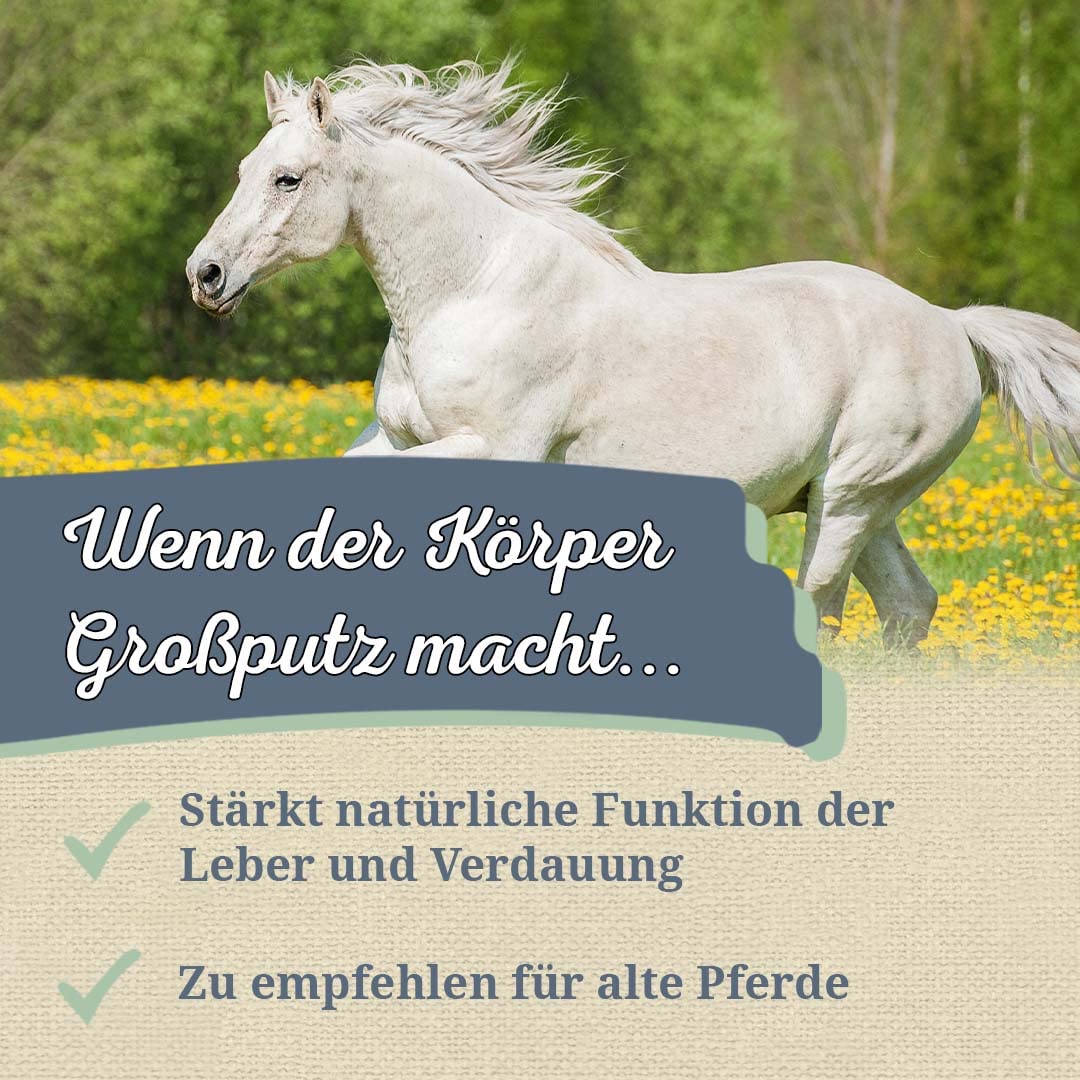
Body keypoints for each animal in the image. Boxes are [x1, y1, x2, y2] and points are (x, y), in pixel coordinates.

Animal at [187, 59, 1080, 645]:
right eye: (243, 169)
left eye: (288, 179)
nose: (206, 275)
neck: (470, 288)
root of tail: (951, 324)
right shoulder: (400, 439)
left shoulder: (494, 450)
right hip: (866, 505)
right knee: (907, 606)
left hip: (851, 499)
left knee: (823, 608)